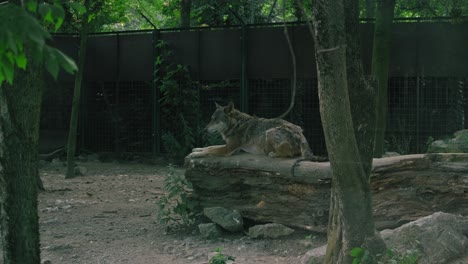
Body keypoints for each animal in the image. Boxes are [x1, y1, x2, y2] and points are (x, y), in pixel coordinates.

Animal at [187, 102, 318, 161]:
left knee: (289, 154)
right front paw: (197, 149)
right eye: (211, 119)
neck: (235, 124)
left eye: (216, 120)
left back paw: (273, 154)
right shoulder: (230, 146)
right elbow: (210, 146)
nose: (204, 130)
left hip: (269, 132)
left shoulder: (228, 149)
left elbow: (211, 150)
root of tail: (301, 135)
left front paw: (195, 154)